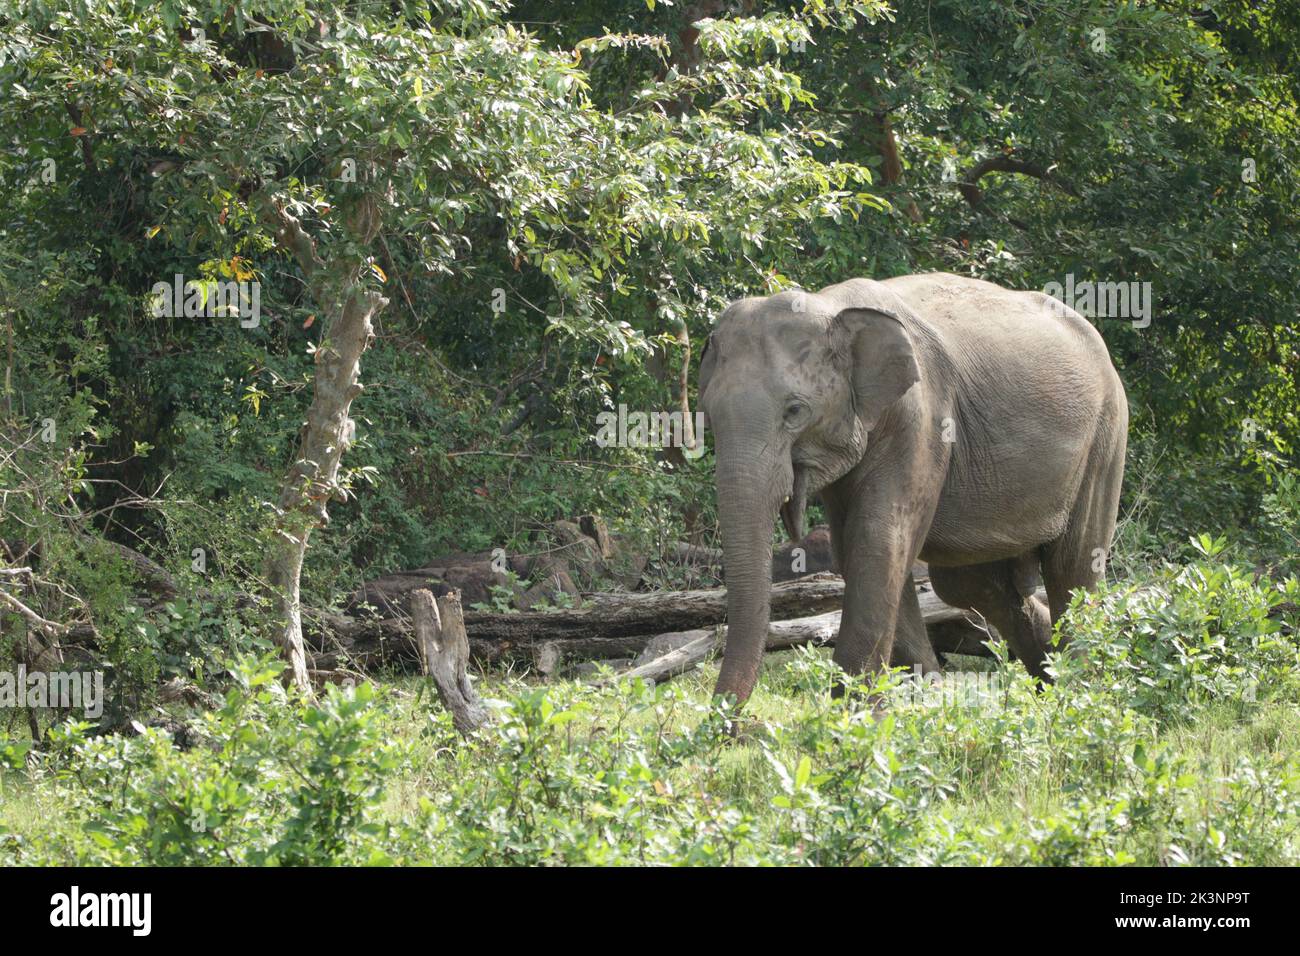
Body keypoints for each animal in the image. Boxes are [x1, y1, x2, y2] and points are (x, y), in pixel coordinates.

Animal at [702, 269, 1128, 702]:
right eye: (709, 414)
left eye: (795, 411)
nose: (727, 717)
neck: (830, 304)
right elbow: (853, 547)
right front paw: (921, 699)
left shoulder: (922, 416)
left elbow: (879, 538)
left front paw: (853, 707)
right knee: (971, 583)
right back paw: (1049, 677)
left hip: (1107, 435)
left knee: (1073, 567)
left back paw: (1077, 688)